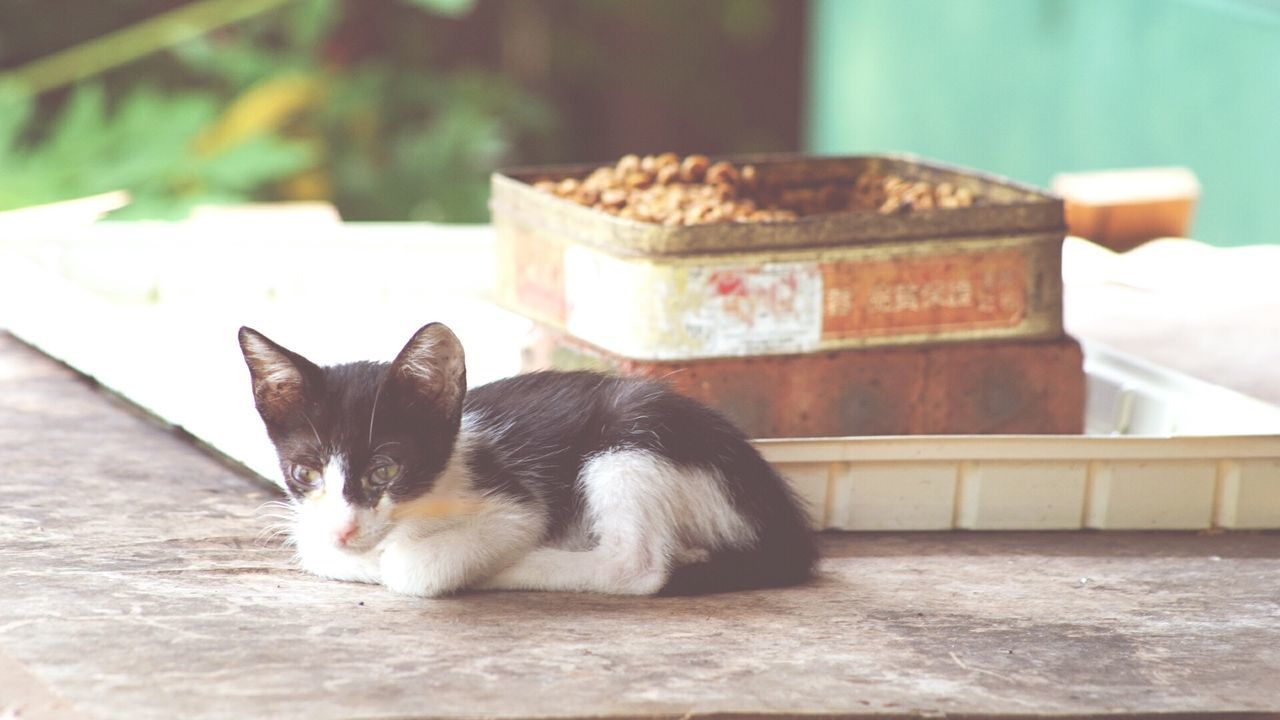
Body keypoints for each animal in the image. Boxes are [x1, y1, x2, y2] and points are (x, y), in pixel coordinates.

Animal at [238, 322, 819, 591]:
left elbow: (416, 567)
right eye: (305, 472)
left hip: (631, 435)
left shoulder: (516, 501)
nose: (344, 530)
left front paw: (415, 561)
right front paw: (349, 551)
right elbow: (316, 549)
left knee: (639, 567)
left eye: (385, 470)